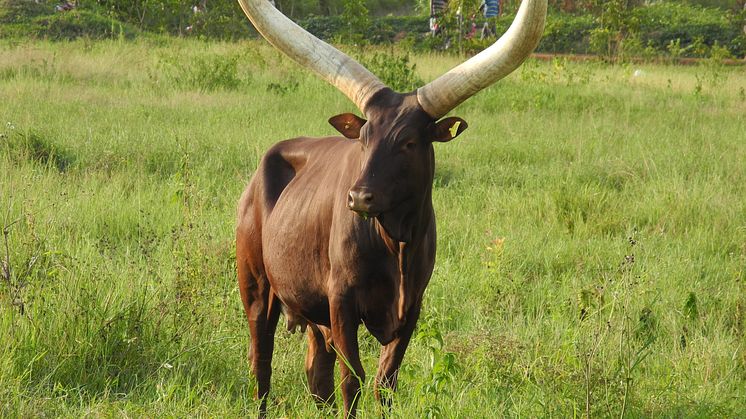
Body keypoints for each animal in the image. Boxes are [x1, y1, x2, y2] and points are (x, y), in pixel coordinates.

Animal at [234, 0, 548, 416]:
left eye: (409, 142)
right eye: (364, 137)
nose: (358, 198)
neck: (393, 241)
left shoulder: (412, 305)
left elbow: (386, 382)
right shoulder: (342, 301)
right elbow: (353, 379)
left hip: (312, 310)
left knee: (317, 372)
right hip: (256, 286)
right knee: (261, 364)